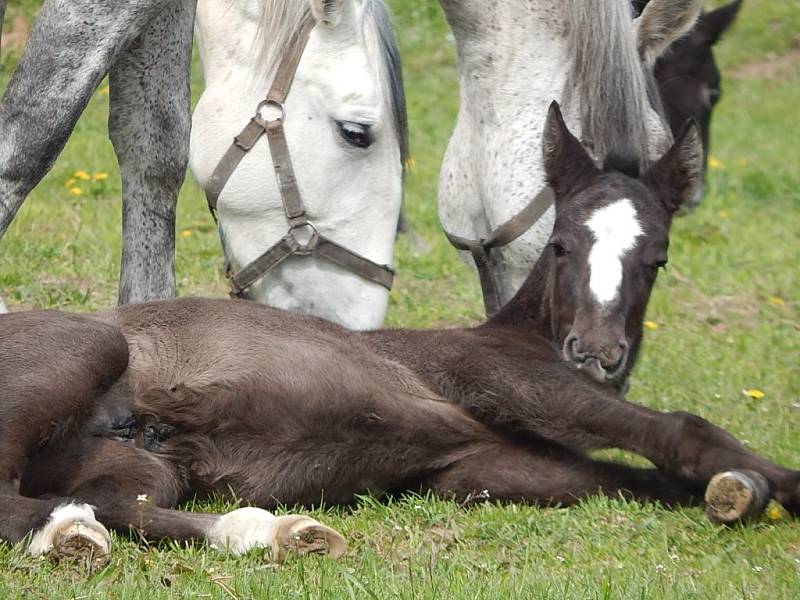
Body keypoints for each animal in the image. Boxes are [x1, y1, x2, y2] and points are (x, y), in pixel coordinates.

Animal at [0, 104, 792, 568]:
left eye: (657, 257)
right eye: (563, 244)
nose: (597, 355)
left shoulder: (481, 466)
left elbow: (636, 480)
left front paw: (741, 493)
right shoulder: (517, 382)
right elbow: (681, 432)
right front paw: (776, 483)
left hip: (141, 464)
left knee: (117, 502)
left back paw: (268, 532)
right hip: (90, 353)